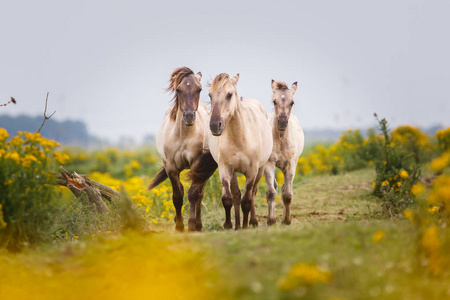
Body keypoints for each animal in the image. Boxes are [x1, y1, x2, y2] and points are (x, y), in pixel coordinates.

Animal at [148, 67, 216, 232]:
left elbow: (193, 195)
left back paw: (198, 224)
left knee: (200, 194)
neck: (183, 136)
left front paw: (191, 224)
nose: (189, 116)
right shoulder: (171, 167)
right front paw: (179, 225)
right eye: (178, 89)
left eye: (199, 89)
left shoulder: (197, 165)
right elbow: (178, 196)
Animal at [209, 73, 272, 230]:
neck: (239, 136)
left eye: (229, 94)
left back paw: (252, 221)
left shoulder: (252, 170)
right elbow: (228, 198)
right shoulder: (225, 168)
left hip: (260, 169)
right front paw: (229, 225)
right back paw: (237, 224)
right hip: (233, 172)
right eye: (209, 95)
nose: (214, 125)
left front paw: (246, 226)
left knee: (253, 193)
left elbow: (247, 200)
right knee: (236, 195)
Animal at [264, 79, 306, 225]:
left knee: (284, 189)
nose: (282, 122)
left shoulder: (290, 164)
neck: (281, 138)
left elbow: (287, 194)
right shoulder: (269, 164)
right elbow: (271, 192)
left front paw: (287, 220)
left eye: (292, 102)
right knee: (276, 188)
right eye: (274, 101)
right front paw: (271, 220)